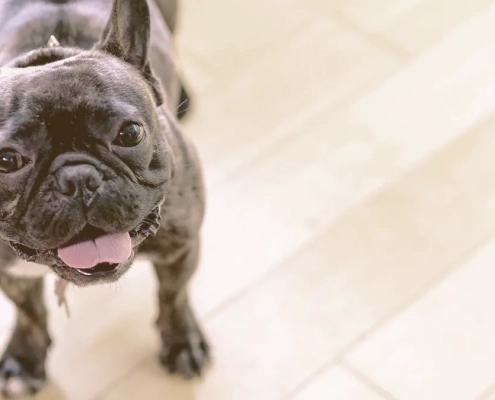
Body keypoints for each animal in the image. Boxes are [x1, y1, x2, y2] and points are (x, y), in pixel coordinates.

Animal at [0, 0, 209, 396]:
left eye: (130, 134)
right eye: (6, 160)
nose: (78, 179)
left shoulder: (182, 246)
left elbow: (173, 295)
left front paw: (181, 341)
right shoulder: (11, 274)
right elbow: (29, 312)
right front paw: (24, 358)